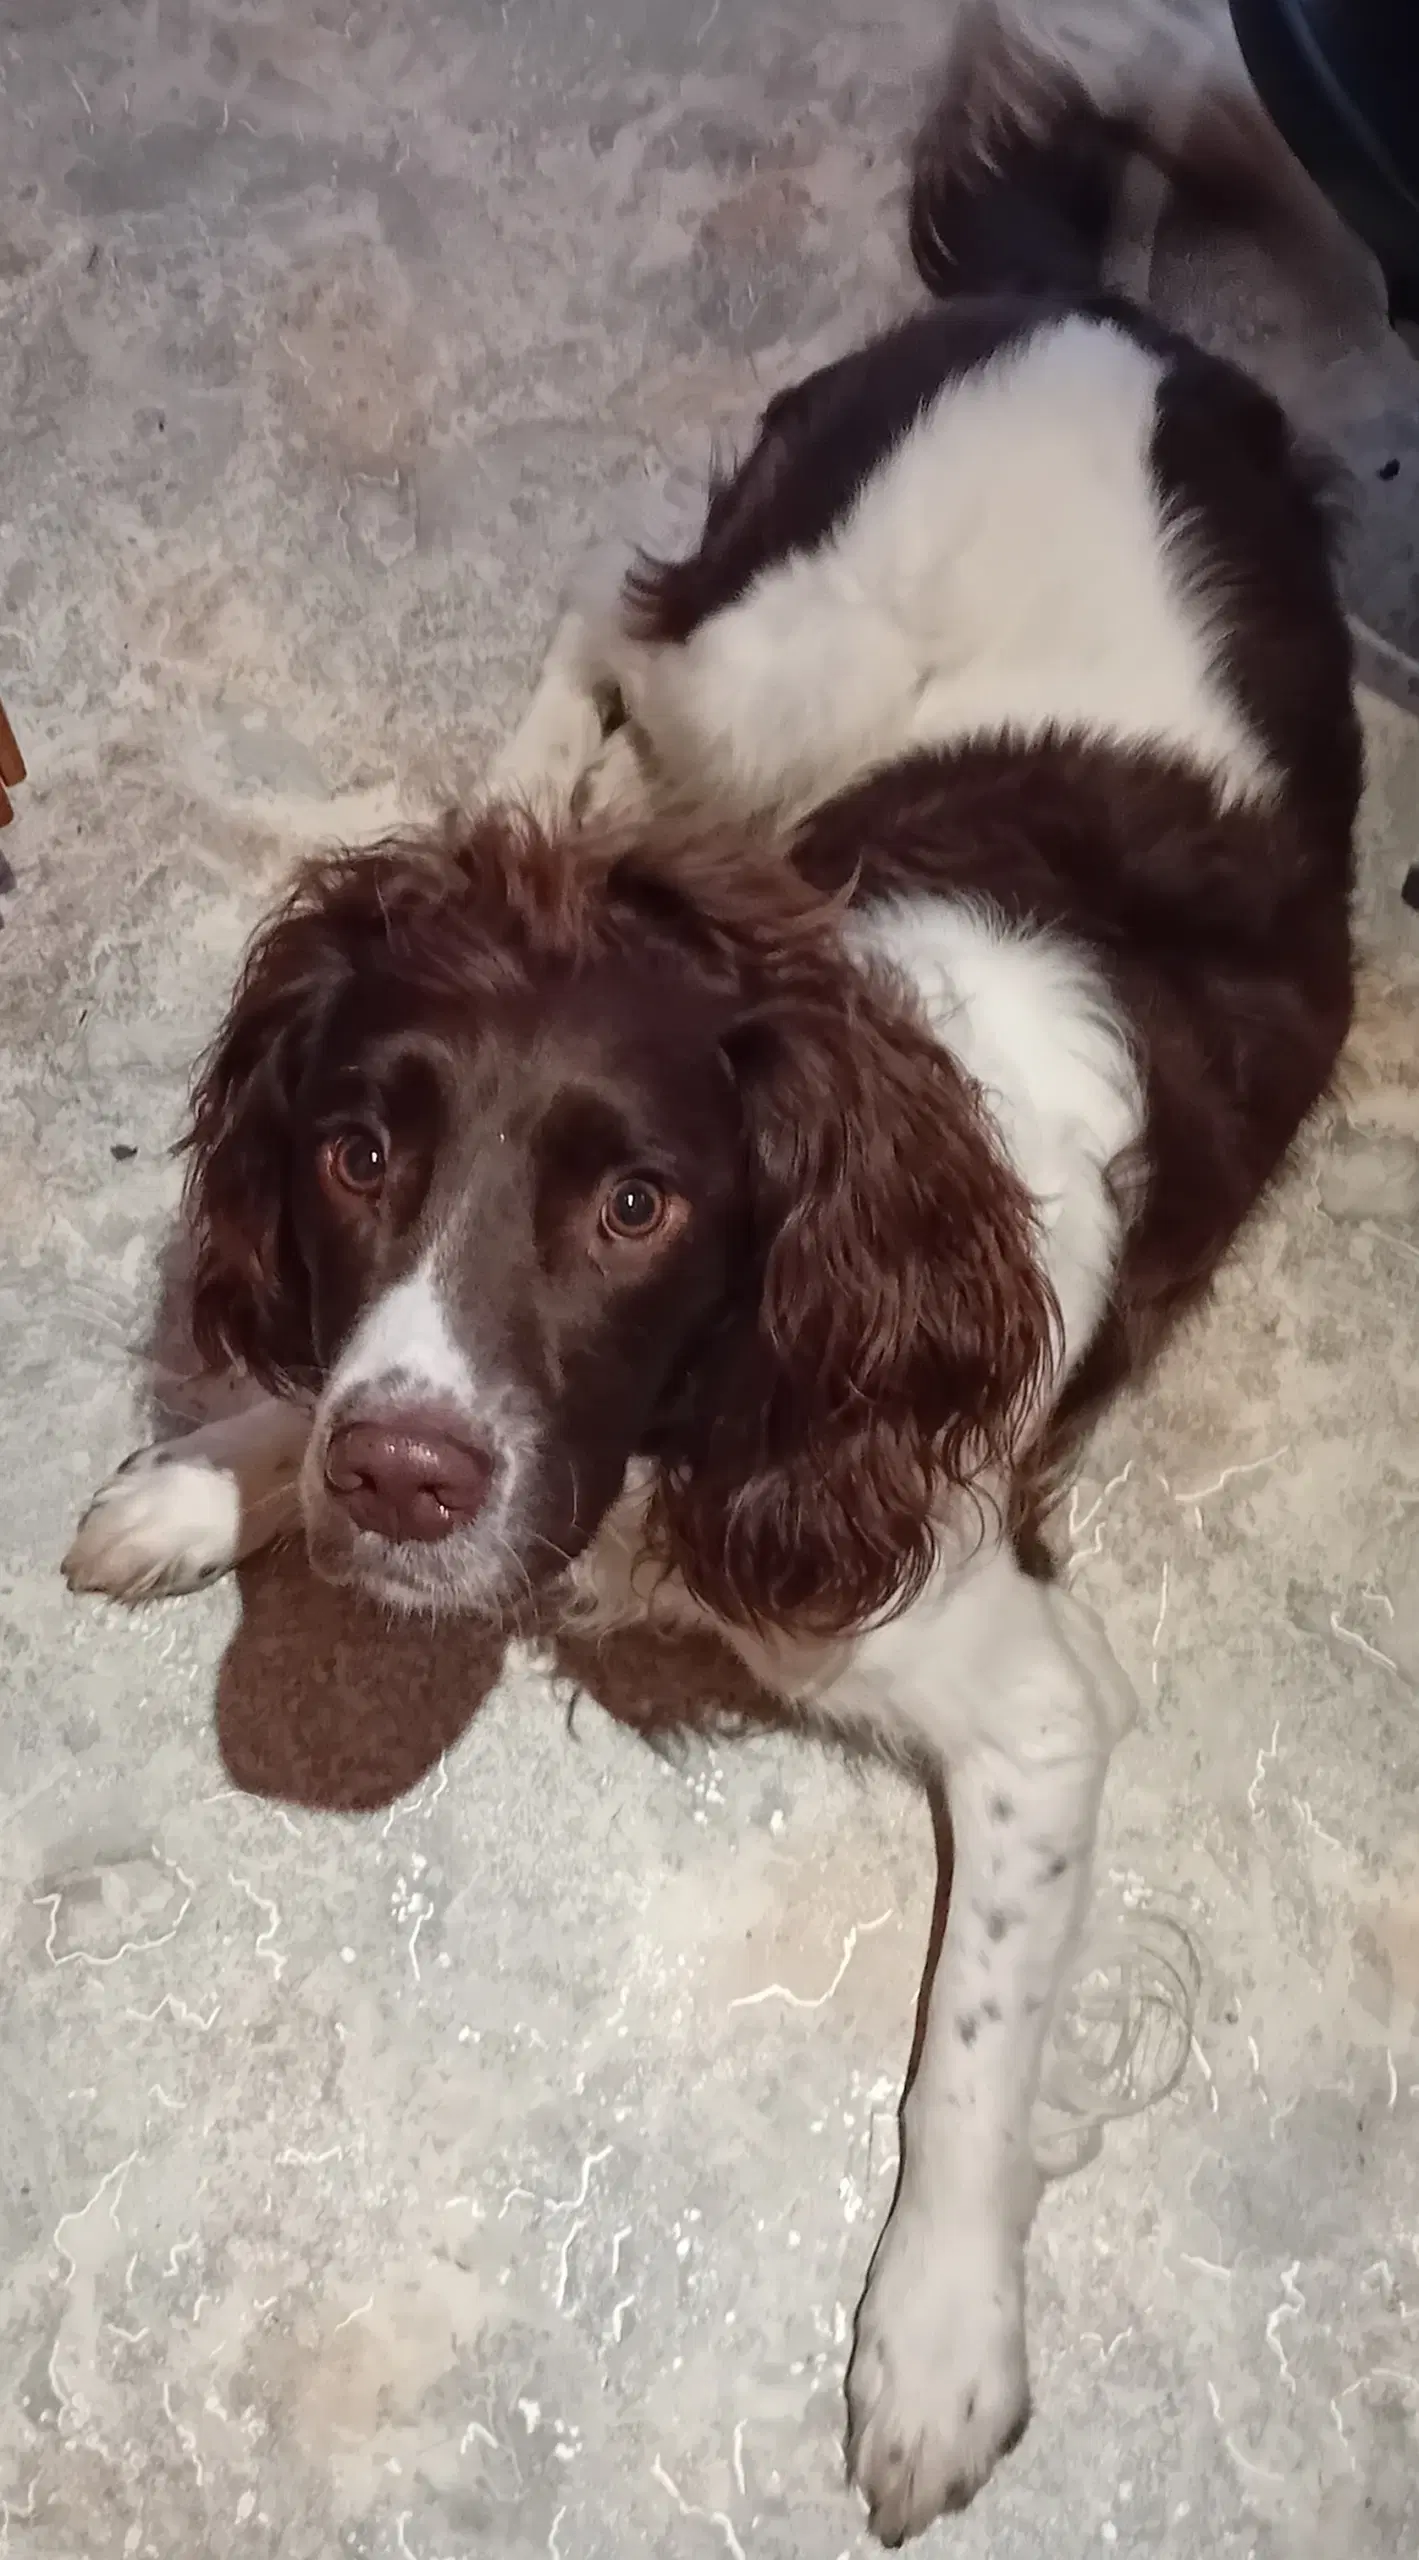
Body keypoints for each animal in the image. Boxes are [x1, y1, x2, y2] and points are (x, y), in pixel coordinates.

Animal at [66, 15, 1362, 2539]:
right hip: (774, 659)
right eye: (358, 1148)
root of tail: (1104, 305)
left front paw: (935, 2347)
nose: (391, 1483)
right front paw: (209, 1470)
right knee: (608, 622)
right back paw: (506, 791)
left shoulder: (1027, 1695)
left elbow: (965, 2053)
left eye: (638, 1208)